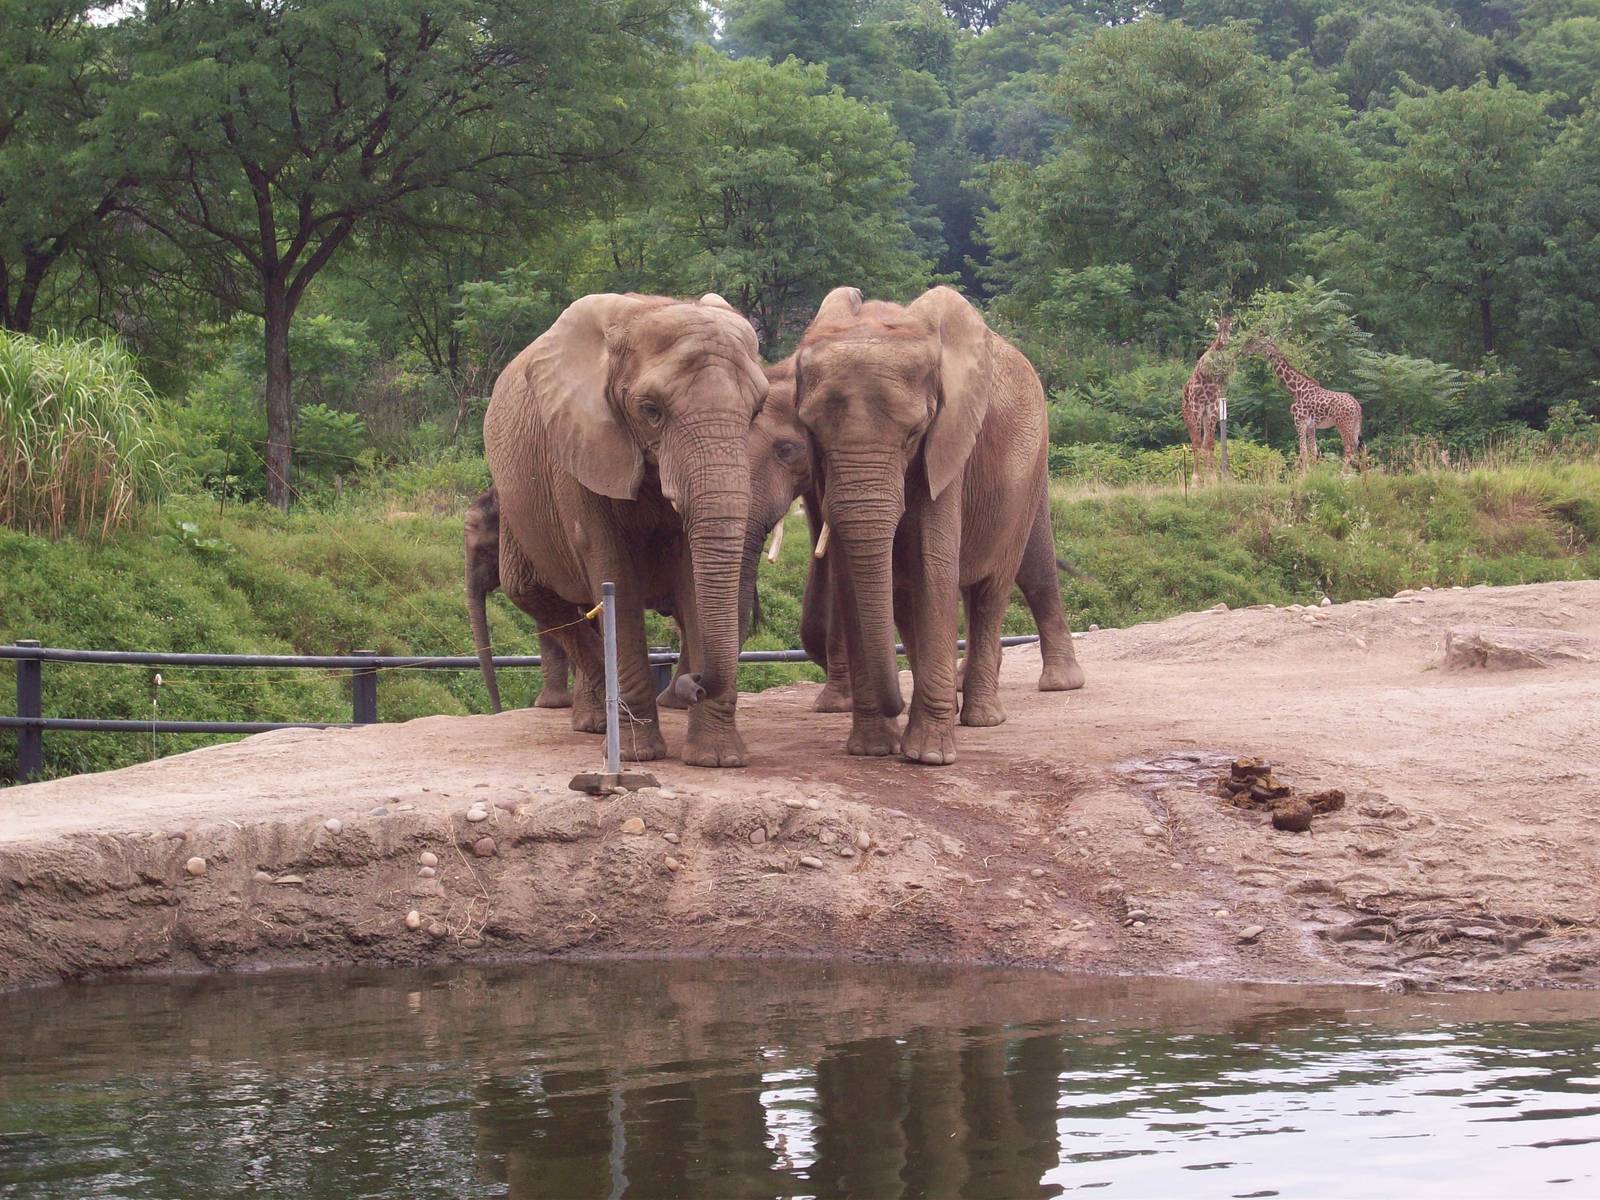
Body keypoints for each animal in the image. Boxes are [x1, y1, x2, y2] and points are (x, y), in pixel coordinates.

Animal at [483, 293, 767, 766]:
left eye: (757, 410)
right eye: (651, 411)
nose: (693, 684)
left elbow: (693, 576)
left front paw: (717, 759)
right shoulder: (580, 447)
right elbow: (614, 572)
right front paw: (638, 756)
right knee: (534, 594)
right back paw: (598, 724)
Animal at [792, 285, 1052, 765]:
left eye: (914, 433)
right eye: (811, 430)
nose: (893, 703)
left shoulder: (949, 445)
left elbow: (935, 567)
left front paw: (928, 757)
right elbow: (853, 579)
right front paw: (872, 750)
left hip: (1026, 482)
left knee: (991, 592)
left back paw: (980, 718)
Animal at [1181, 315, 1232, 479]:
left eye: (1230, 328)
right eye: (1218, 328)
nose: (1224, 340)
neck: (1206, 377)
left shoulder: (1212, 408)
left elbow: (1209, 443)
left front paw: (1212, 477)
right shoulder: (1197, 408)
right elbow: (1197, 443)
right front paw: (1196, 479)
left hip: (1204, 416)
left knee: (1204, 442)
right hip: (1188, 416)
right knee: (1194, 441)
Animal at [1239, 336, 1363, 470]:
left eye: (1257, 344)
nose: (1243, 351)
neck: (1297, 391)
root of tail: (1356, 405)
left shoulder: (1299, 422)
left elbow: (1303, 451)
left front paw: (1304, 473)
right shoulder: (1311, 426)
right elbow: (1313, 451)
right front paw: (1313, 471)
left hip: (1343, 424)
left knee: (1349, 450)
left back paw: (1342, 473)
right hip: (1355, 425)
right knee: (1358, 448)